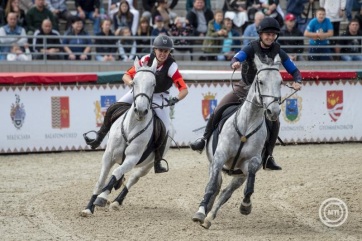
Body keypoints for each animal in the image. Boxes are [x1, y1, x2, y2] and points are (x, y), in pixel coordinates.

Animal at [81, 58, 175, 217]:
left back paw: (117, 202)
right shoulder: (109, 156)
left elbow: (116, 173)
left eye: (153, 84)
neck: (132, 126)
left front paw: (101, 197)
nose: (141, 111)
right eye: (134, 82)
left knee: (133, 178)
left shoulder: (132, 158)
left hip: (148, 165)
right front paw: (89, 208)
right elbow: (101, 180)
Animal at [192, 55, 282, 229]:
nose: (273, 111)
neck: (246, 127)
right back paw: (204, 210)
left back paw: (210, 217)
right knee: (214, 186)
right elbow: (211, 186)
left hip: (238, 176)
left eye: (280, 82)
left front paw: (246, 206)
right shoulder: (219, 157)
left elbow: (249, 185)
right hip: (213, 164)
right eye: (260, 81)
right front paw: (200, 212)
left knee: (225, 193)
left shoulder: (252, 162)